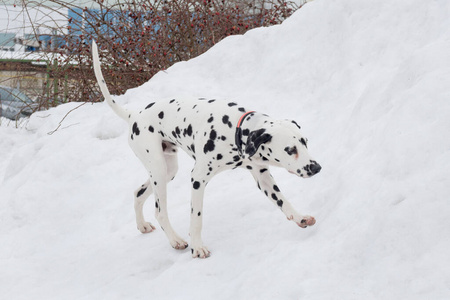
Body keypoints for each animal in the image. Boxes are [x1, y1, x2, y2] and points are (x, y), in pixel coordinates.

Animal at [93, 41, 322, 258]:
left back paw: (142, 225)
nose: (316, 168)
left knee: (138, 193)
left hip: (167, 171)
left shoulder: (262, 176)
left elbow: (282, 200)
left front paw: (300, 217)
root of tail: (134, 115)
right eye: (290, 149)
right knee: (160, 211)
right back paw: (175, 240)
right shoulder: (198, 178)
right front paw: (197, 247)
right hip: (158, 169)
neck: (235, 129)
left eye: (305, 142)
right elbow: (197, 218)